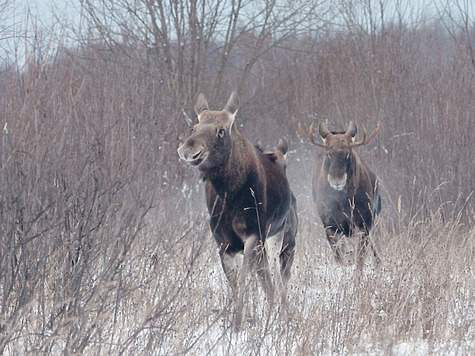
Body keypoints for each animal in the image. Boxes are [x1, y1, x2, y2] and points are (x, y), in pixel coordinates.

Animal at [178, 91, 298, 328]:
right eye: (194, 127)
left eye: (221, 130)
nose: (190, 150)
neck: (230, 196)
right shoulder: (223, 241)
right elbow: (234, 282)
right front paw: (240, 319)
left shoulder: (253, 235)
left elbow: (245, 279)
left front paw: (240, 322)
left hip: (277, 238)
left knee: (276, 276)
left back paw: (282, 313)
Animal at [302, 119, 384, 268]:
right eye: (328, 153)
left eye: (348, 153)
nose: (337, 180)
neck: (344, 201)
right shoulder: (330, 225)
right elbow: (339, 259)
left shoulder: (364, 223)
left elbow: (359, 260)